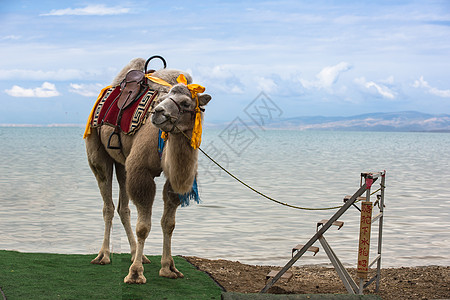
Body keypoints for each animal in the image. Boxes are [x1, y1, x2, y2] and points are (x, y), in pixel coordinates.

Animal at [85, 58, 212, 284]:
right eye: (165, 97)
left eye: (186, 103)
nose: (158, 112)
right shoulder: (141, 171)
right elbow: (143, 226)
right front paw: (135, 274)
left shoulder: (171, 179)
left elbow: (168, 223)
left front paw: (169, 268)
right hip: (97, 151)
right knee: (107, 204)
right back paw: (103, 256)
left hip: (123, 163)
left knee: (123, 207)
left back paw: (137, 254)